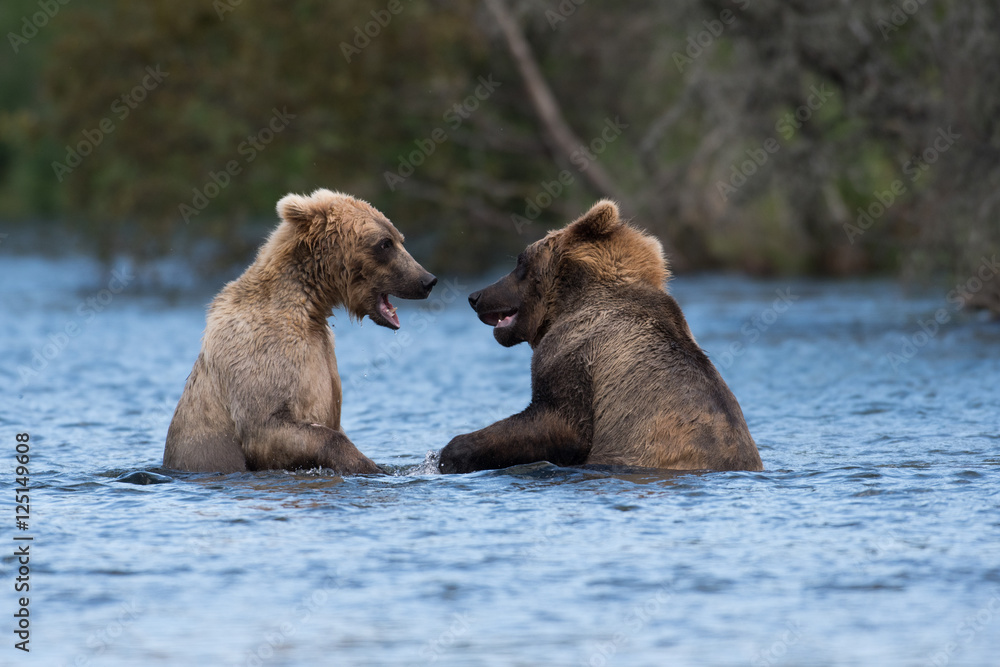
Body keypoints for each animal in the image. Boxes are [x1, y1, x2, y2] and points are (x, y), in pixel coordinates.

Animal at [163, 188, 437, 474]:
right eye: (385, 243)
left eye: (399, 238)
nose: (427, 280)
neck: (311, 305)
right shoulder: (261, 356)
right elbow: (270, 426)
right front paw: (369, 465)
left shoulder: (322, 350)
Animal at [438, 200, 763, 473]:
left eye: (520, 261)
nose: (476, 296)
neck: (570, 301)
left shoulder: (577, 351)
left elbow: (559, 422)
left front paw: (450, 453)